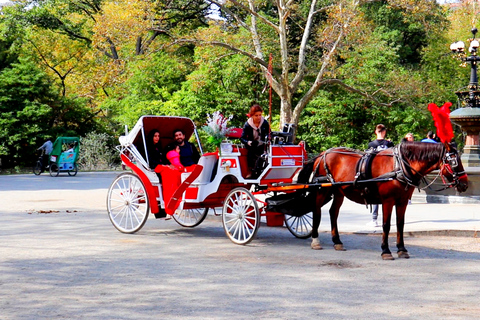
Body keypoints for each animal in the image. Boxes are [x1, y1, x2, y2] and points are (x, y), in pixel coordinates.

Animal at [298, 142, 466, 260]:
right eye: (454, 162)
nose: (465, 183)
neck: (399, 166)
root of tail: (323, 154)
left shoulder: (402, 201)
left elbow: (400, 225)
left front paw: (402, 249)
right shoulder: (388, 201)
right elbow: (386, 225)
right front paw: (386, 250)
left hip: (339, 192)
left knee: (333, 213)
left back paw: (337, 241)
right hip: (322, 189)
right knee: (316, 210)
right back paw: (315, 240)